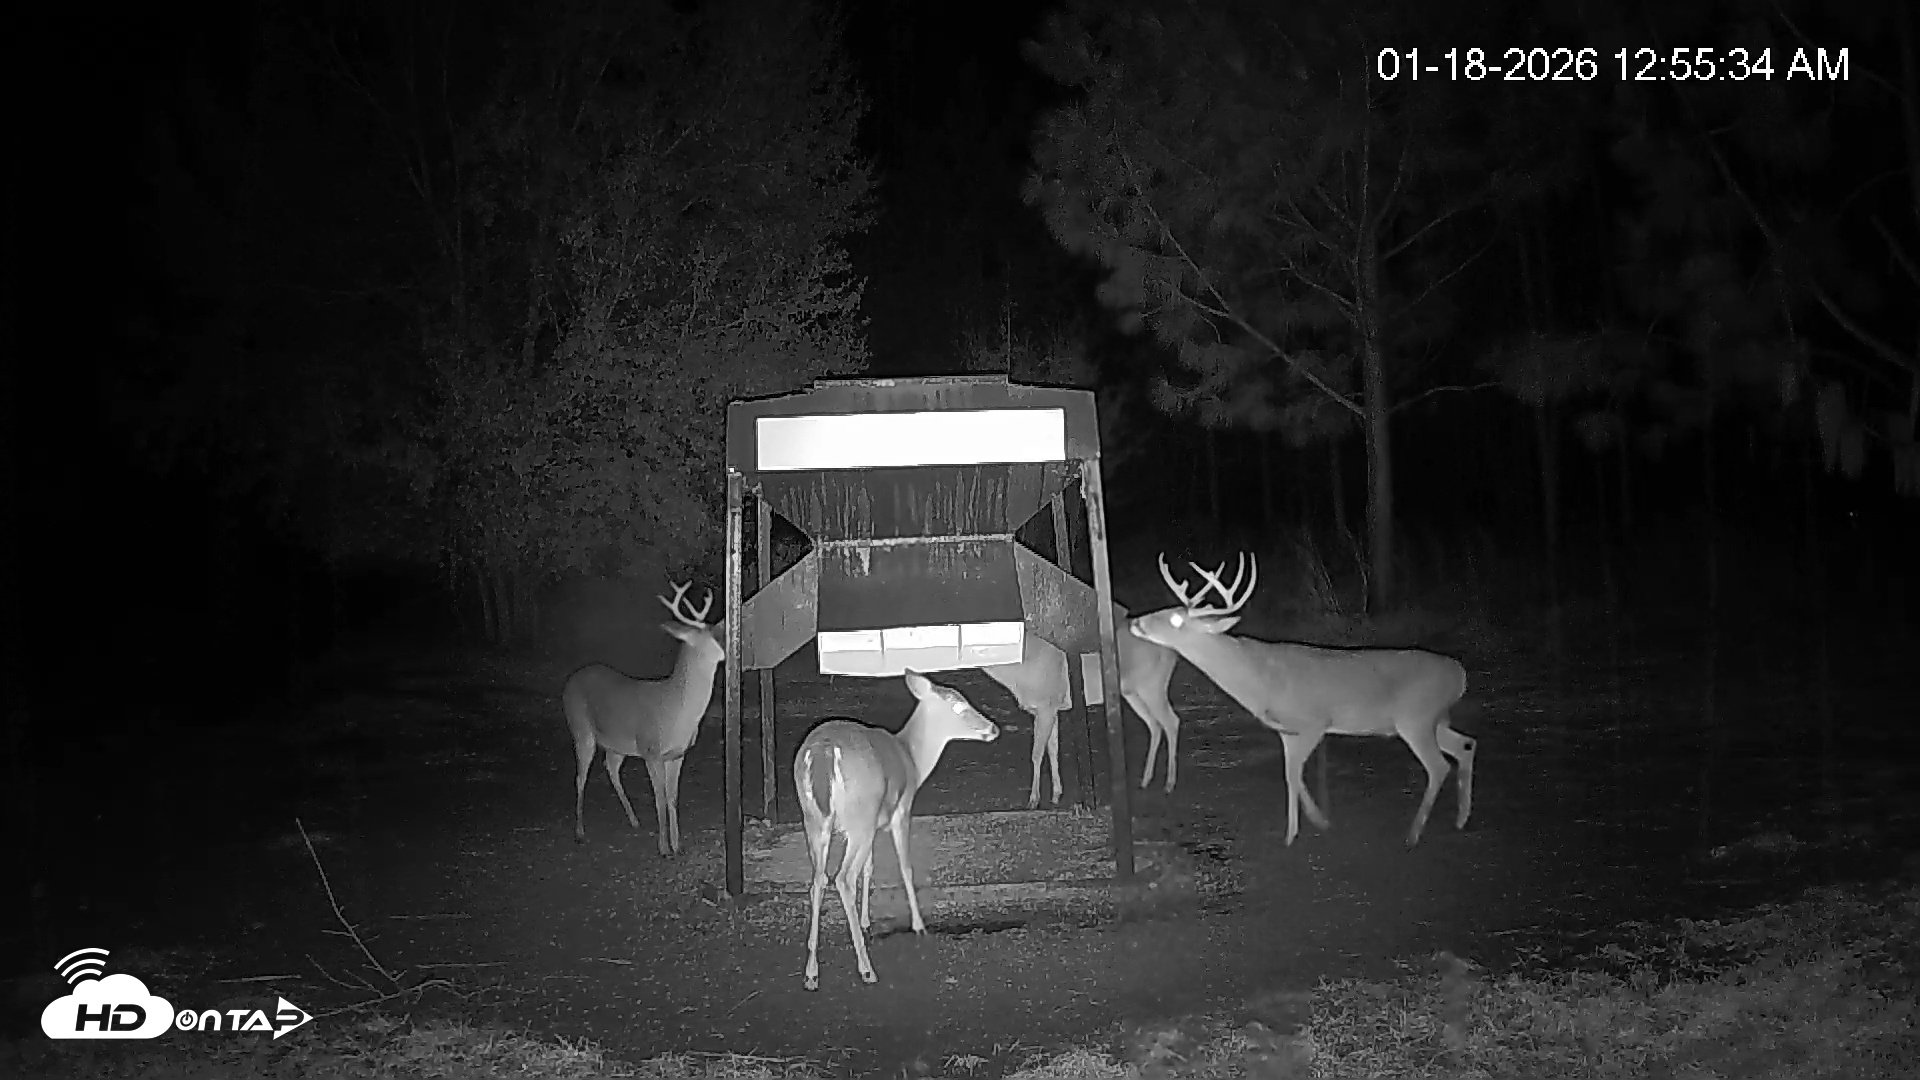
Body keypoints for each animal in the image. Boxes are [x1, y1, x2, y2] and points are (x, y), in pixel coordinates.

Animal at [561, 580, 724, 854]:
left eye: (714, 632)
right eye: (701, 638)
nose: (725, 653)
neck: (676, 712)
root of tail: (570, 681)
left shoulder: (677, 754)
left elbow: (672, 797)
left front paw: (677, 845)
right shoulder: (651, 750)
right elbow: (659, 798)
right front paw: (663, 848)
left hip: (617, 743)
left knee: (611, 767)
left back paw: (634, 820)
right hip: (580, 728)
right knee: (579, 777)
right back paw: (580, 832)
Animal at [793, 670, 1000, 991]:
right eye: (959, 705)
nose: (993, 728)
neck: (911, 757)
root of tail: (823, 752)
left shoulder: (876, 821)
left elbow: (870, 867)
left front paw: (866, 922)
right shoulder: (901, 811)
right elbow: (905, 867)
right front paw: (919, 926)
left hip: (815, 820)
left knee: (818, 880)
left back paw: (812, 973)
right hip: (858, 816)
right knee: (842, 878)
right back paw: (866, 969)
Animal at [980, 617, 1184, 809]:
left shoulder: (1046, 706)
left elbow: (1036, 753)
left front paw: (1034, 800)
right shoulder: (1051, 709)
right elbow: (1053, 749)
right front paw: (1056, 794)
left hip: (1153, 685)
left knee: (1171, 722)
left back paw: (1169, 783)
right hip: (1133, 692)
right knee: (1155, 725)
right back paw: (1145, 780)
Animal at [1129, 553, 1475, 848]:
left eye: (1176, 621)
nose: (1135, 622)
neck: (1260, 680)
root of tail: (1460, 675)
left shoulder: (1314, 723)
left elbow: (1293, 774)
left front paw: (1291, 835)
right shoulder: (1287, 731)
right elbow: (1291, 773)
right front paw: (1318, 821)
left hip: (1416, 719)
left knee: (1438, 766)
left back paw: (1413, 834)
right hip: (1433, 720)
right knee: (1466, 745)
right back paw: (1460, 819)